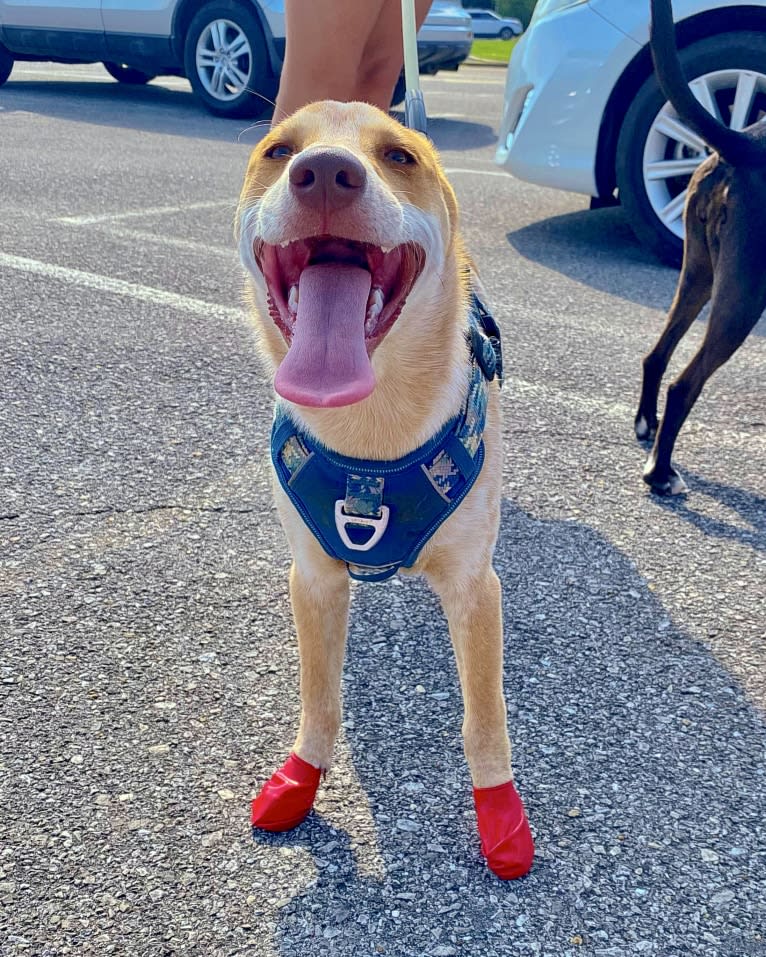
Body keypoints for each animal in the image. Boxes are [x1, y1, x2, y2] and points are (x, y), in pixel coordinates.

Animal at [238, 101, 536, 876]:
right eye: (278, 151)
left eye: (399, 156)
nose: (323, 174)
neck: (370, 434)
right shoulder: (312, 578)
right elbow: (319, 697)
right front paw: (301, 777)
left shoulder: (474, 585)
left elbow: (484, 714)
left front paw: (499, 811)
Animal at [636, 0, 766, 492]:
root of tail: (746, 142)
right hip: (743, 297)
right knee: (684, 385)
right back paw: (661, 472)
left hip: (700, 274)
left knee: (656, 355)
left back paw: (648, 428)